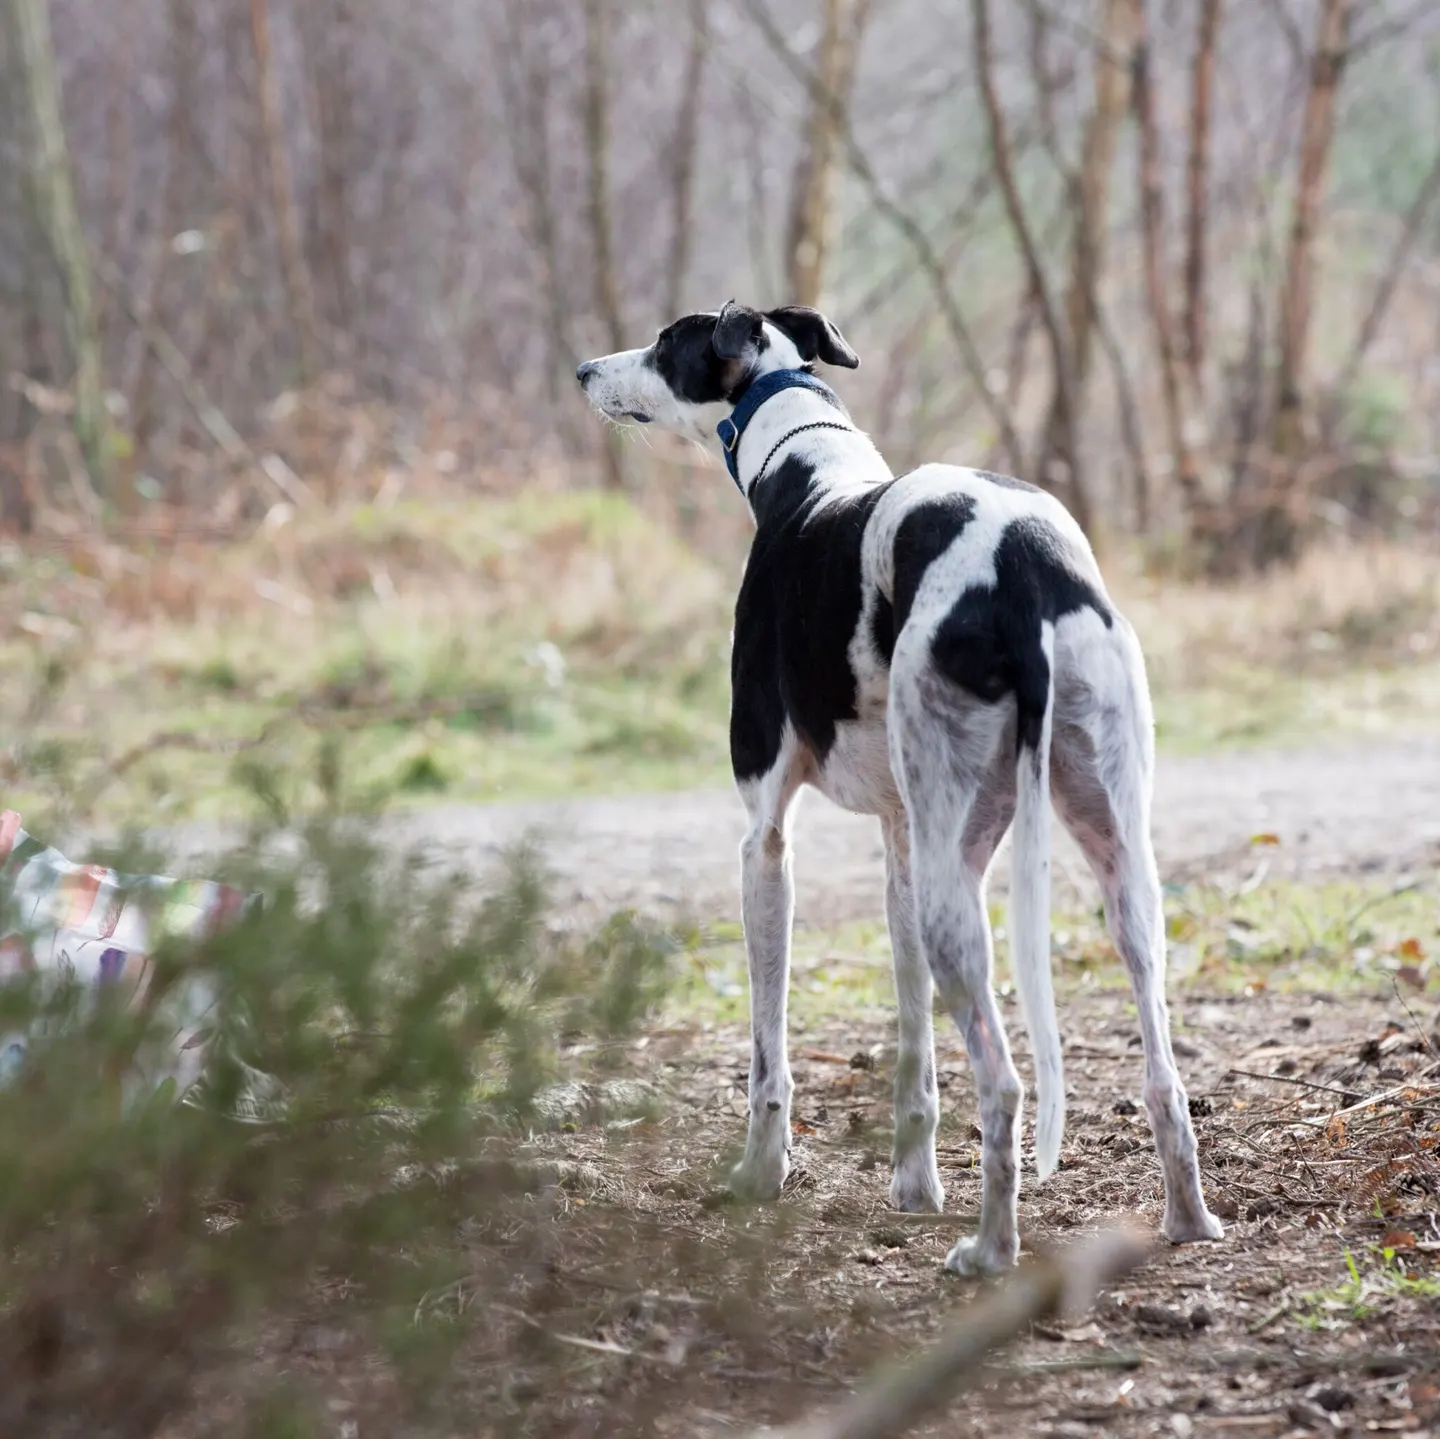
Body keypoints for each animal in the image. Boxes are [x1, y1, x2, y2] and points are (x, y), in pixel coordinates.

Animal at [576, 301, 1226, 1273]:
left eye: (663, 343)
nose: (584, 371)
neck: (803, 468)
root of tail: (1022, 571)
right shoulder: (900, 840)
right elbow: (913, 1038)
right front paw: (914, 1185)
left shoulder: (765, 839)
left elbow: (768, 1047)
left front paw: (760, 1173)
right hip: (1112, 862)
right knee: (1163, 1071)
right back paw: (1187, 1217)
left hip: (964, 881)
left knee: (1004, 1083)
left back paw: (991, 1249)